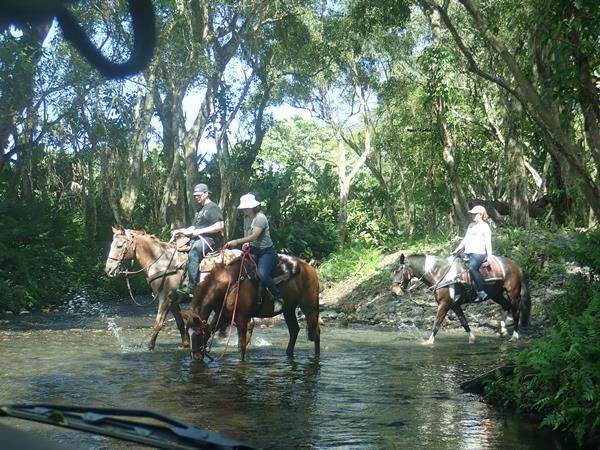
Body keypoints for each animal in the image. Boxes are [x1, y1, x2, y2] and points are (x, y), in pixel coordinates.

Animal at [188, 253, 322, 362]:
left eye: (198, 334)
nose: (195, 357)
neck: (229, 284)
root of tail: (310, 268)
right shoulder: (223, 316)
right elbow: (210, 330)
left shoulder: (241, 318)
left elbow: (241, 346)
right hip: (288, 309)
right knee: (294, 330)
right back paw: (288, 353)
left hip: (309, 307)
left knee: (316, 332)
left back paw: (317, 357)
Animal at [392, 253, 532, 344]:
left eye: (398, 270)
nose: (394, 290)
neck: (440, 274)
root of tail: (516, 266)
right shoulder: (454, 305)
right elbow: (464, 322)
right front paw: (472, 339)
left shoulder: (444, 304)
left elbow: (436, 324)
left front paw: (428, 343)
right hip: (496, 294)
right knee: (506, 306)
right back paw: (503, 331)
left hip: (513, 293)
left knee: (516, 311)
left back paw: (515, 336)